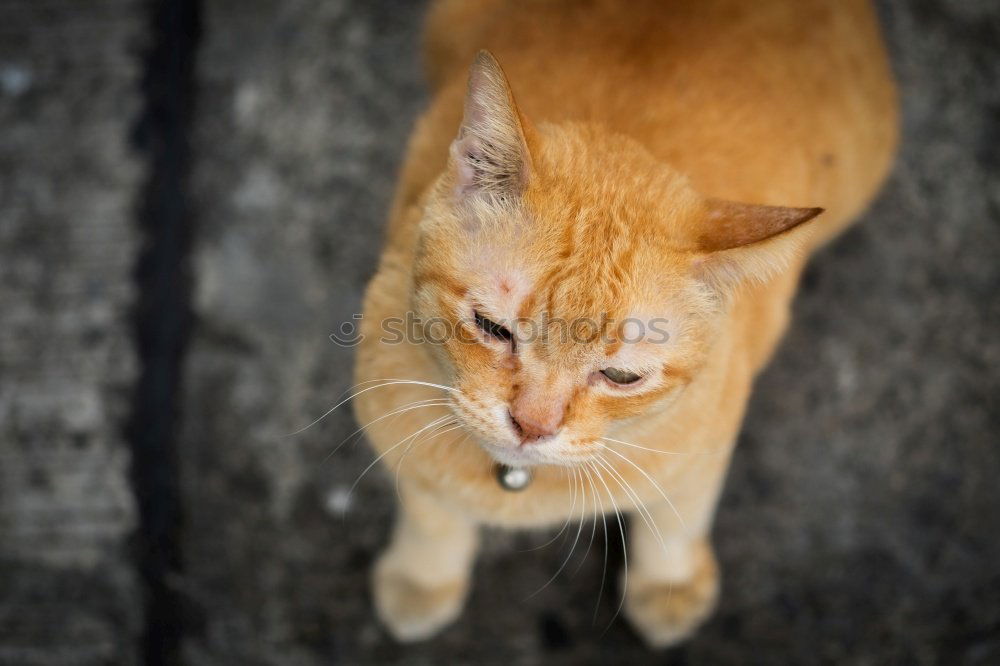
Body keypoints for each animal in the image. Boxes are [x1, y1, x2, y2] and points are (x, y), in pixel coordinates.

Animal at [354, 0, 900, 644]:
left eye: (620, 377)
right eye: (493, 328)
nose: (532, 427)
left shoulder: (709, 440)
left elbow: (680, 516)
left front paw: (669, 584)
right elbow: (429, 515)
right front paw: (422, 579)